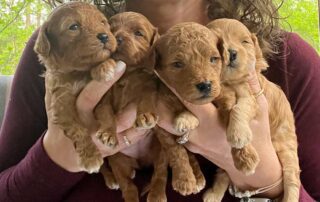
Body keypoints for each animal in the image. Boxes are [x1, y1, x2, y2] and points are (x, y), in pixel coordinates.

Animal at [33, 1, 117, 173]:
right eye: (74, 27)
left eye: (103, 22)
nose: (104, 36)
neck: (77, 74)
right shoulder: (61, 106)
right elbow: (78, 130)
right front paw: (91, 157)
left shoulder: (104, 96)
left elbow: (107, 112)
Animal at [204, 18, 302, 200]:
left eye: (245, 42)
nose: (231, 53)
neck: (229, 82)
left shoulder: (251, 98)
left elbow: (239, 109)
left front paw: (238, 134)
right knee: (224, 173)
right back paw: (214, 194)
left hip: (289, 151)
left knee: (292, 181)